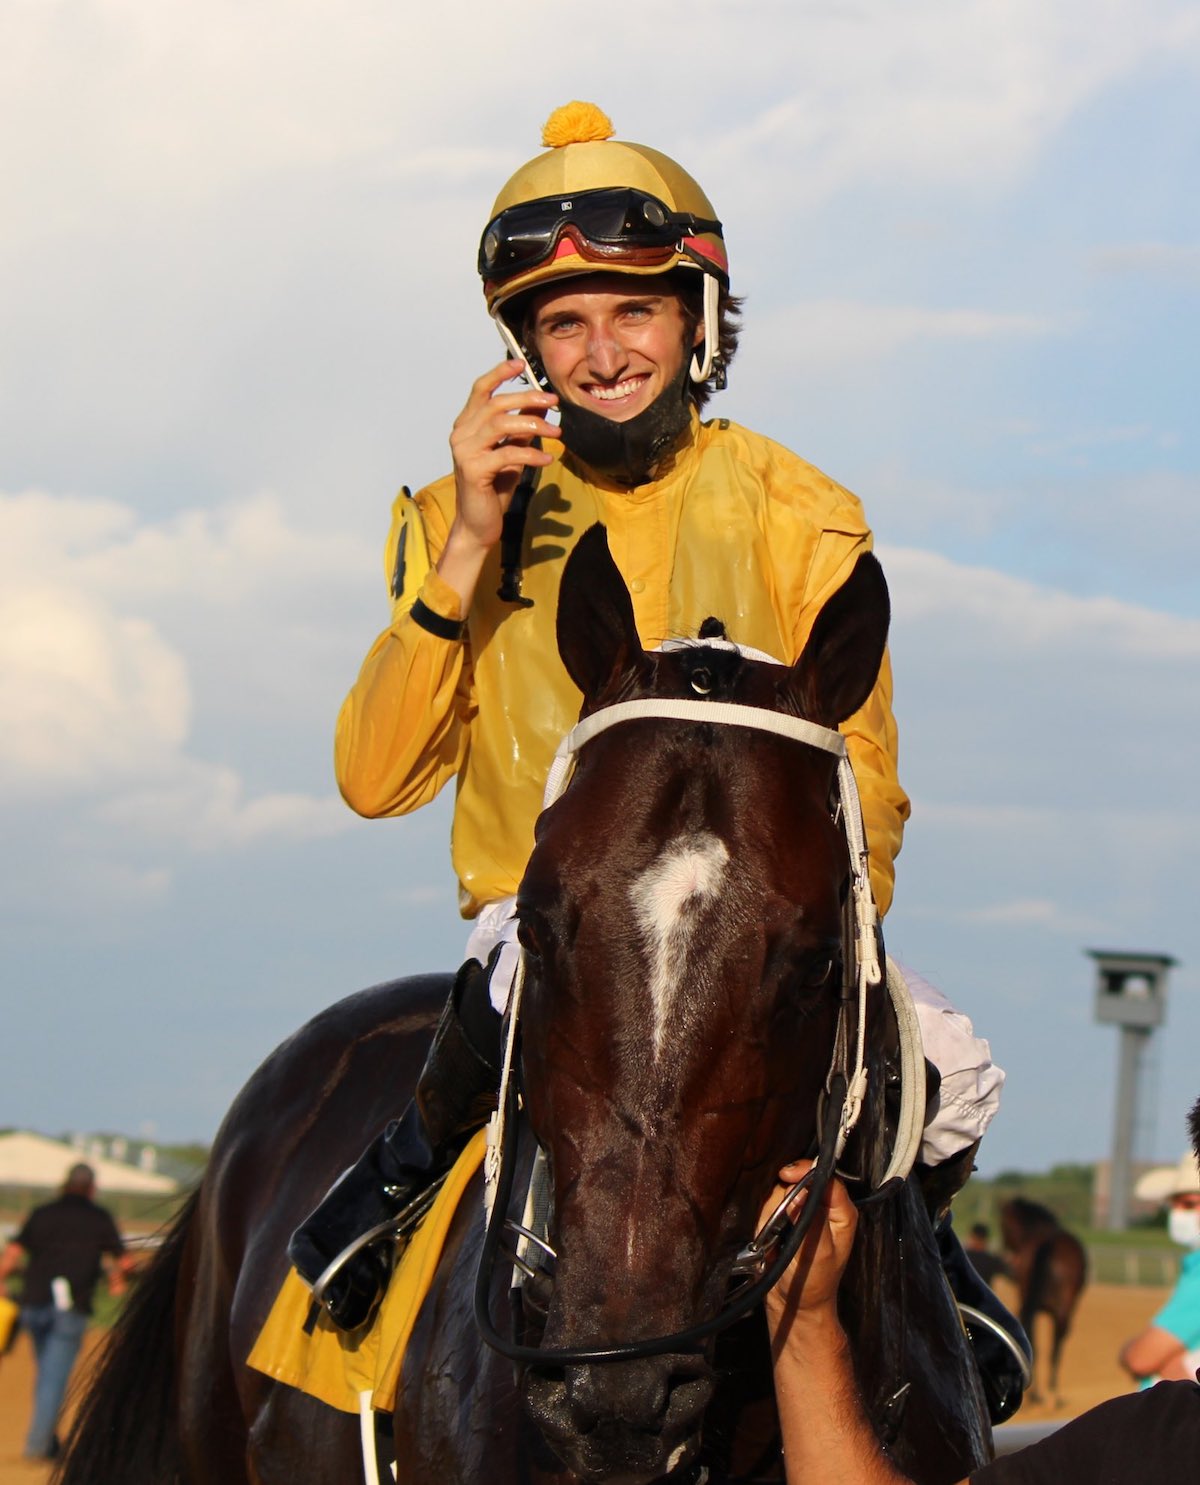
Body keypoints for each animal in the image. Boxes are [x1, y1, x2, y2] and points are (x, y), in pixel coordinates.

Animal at [992, 1193, 1087, 1401]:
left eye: (1003, 1224)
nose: (1007, 1255)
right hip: (1065, 1307)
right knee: (1057, 1342)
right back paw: (1053, 1393)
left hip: (1033, 1305)